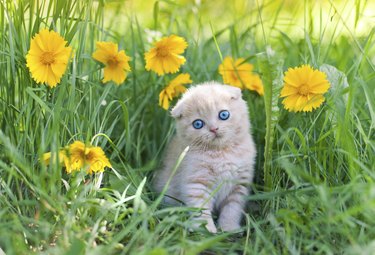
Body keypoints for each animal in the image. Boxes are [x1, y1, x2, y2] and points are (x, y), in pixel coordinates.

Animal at [152, 81, 256, 233]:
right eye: (198, 124)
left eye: (224, 114)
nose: (213, 129)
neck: (222, 152)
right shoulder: (196, 183)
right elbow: (201, 209)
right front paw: (206, 230)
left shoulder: (240, 184)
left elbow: (232, 209)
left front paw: (229, 228)